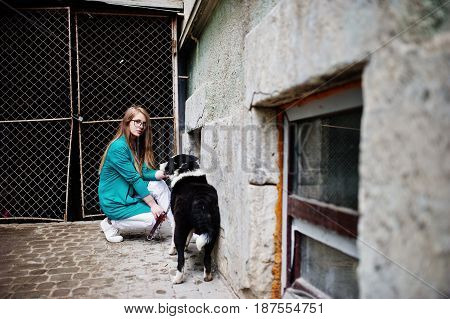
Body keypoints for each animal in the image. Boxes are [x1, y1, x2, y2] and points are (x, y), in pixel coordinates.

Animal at [162, 155, 221, 284]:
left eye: (170, 161)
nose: (160, 165)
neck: (188, 170)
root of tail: (201, 199)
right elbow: (189, 236)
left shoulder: (176, 222)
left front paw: (172, 250)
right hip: (213, 231)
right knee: (207, 257)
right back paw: (207, 276)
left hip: (180, 228)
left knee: (181, 259)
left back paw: (177, 278)